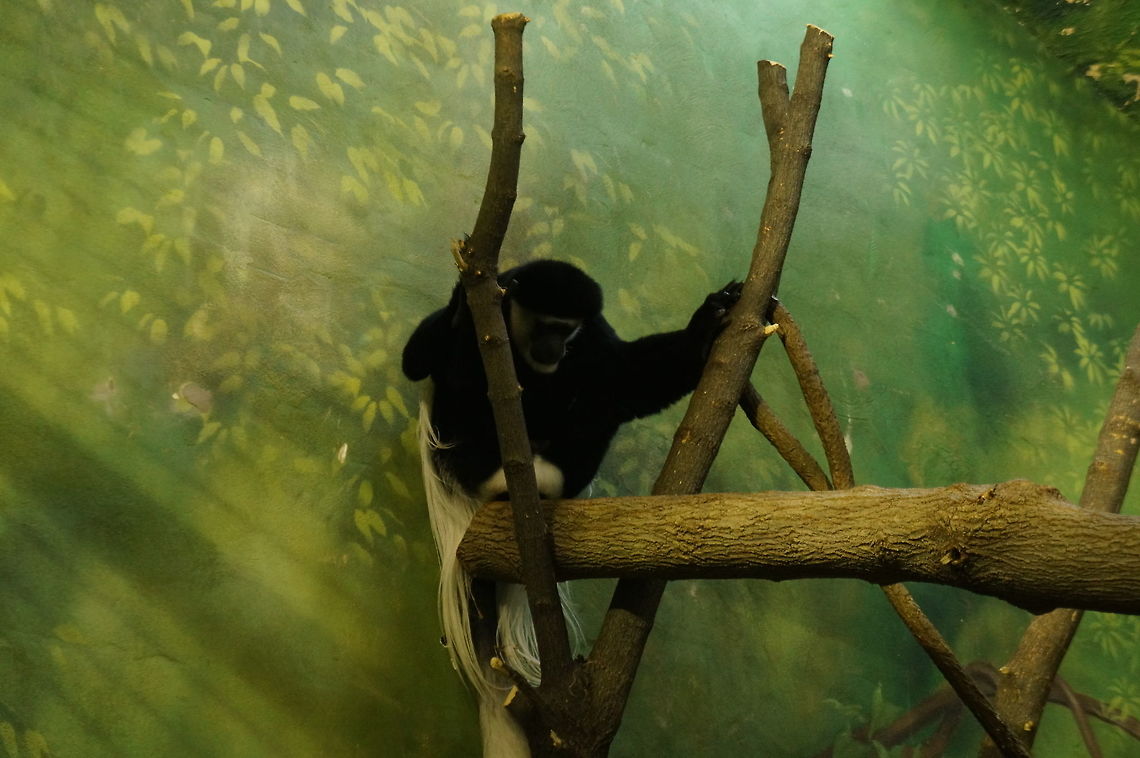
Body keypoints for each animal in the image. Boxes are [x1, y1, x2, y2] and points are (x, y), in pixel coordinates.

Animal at [402, 259, 741, 756]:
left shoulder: (594, 335)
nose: (555, 348)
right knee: (461, 378)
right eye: (547, 325)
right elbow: (415, 360)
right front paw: (463, 302)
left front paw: (710, 315)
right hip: (456, 446)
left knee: (599, 399)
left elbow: (628, 379)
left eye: (567, 329)